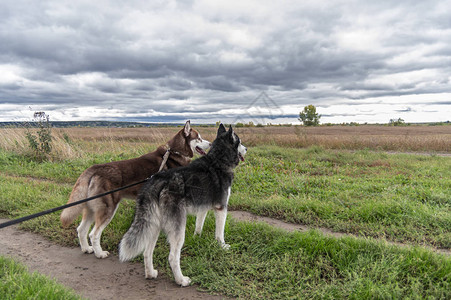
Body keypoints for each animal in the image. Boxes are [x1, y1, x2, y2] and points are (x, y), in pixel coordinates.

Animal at [118, 123, 247, 286]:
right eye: (240, 142)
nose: (246, 149)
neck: (218, 160)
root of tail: (156, 181)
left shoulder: (203, 207)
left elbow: (199, 225)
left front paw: (197, 237)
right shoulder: (221, 208)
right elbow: (220, 233)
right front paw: (222, 246)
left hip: (154, 225)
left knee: (147, 252)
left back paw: (150, 273)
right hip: (178, 228)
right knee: (173, 257)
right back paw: (181, 280)